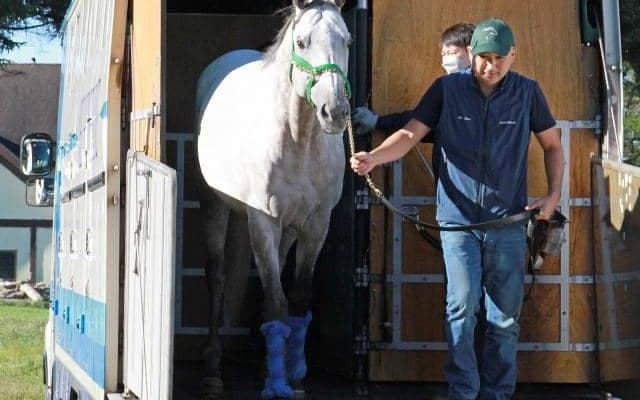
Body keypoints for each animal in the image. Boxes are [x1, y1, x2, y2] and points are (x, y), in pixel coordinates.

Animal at [194, 0, 351, 398]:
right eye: (302, 41)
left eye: (347, 40)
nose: (335, 112)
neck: (299, 141)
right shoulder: (263, 220)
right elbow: (276, 304)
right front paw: (277, 384)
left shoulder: (315, 225)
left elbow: (297, 299)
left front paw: (294, 376)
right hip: (216, 206)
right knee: (217, 276)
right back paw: (212, 371)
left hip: (288, 229)